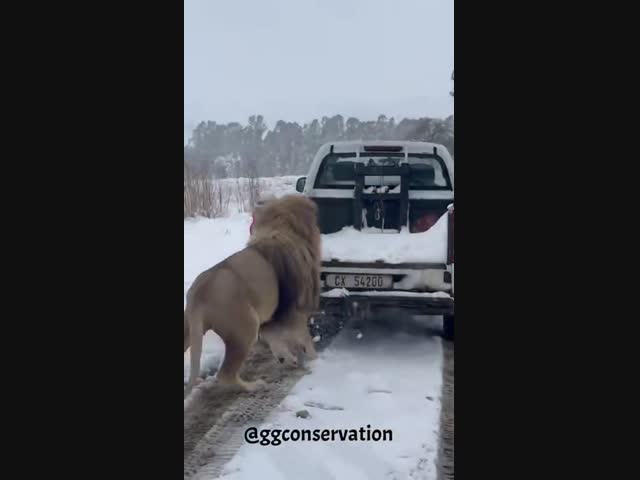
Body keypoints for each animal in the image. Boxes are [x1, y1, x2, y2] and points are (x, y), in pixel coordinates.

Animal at [185, 193, 322, 396]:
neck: (282, 229)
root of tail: (198, 291)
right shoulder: (295, 308)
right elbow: (304, 338)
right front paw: (316, 360)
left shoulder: (272, 314)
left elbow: (275, 339)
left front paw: (287, 358)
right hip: (245, 328)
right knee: (225, 374)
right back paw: (255, 385)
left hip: (190, 329)